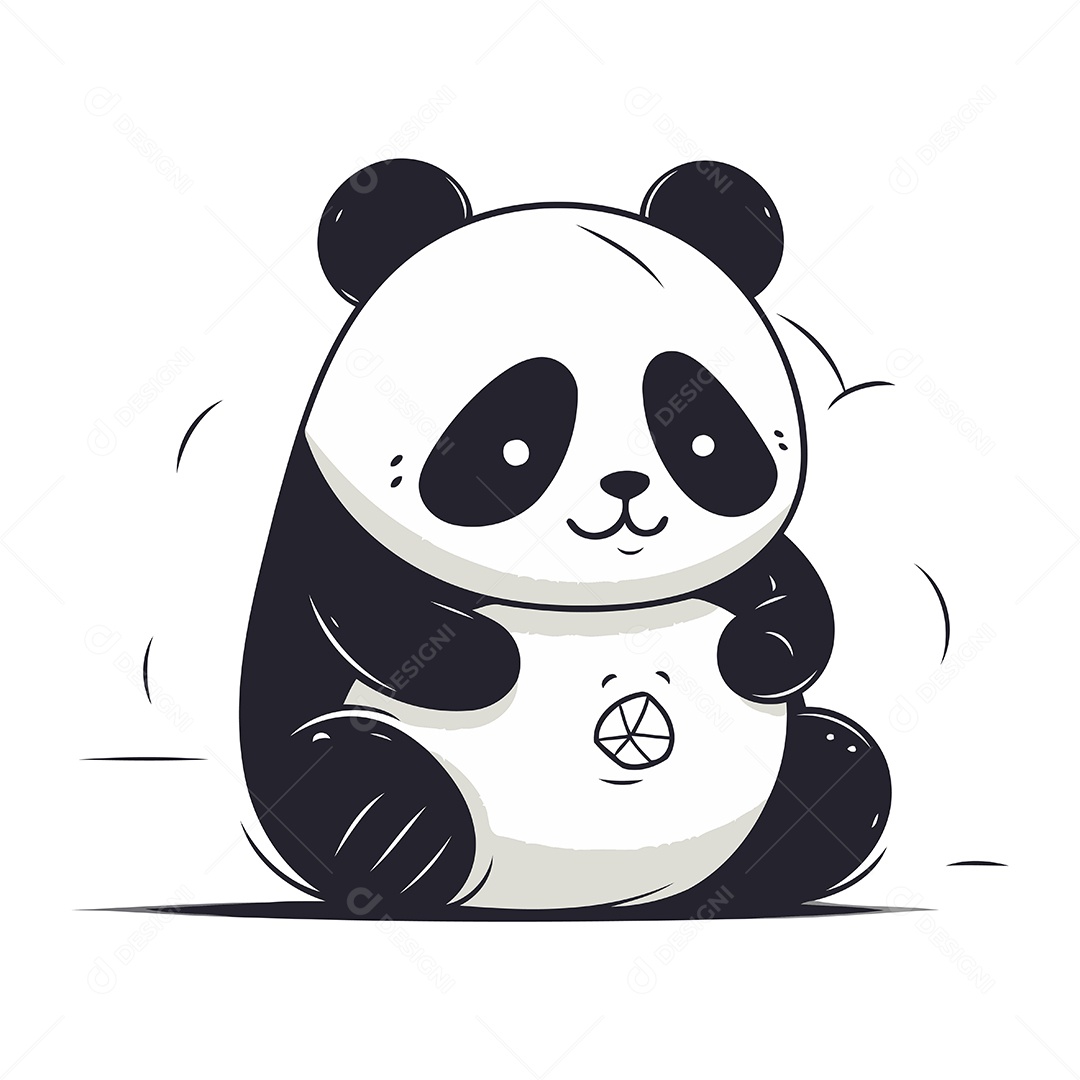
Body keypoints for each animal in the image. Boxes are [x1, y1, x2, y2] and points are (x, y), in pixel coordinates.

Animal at [239, 158, 891, 918]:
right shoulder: (329, 511)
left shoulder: (748, 567)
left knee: (840, 769)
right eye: (514, 447)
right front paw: (485, 660)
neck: (588, 593)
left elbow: (794, 592)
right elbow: (352, 596)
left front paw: (759, 650)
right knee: (341, 773)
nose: (626, 484)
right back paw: (396, 830)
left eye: (702, 439)